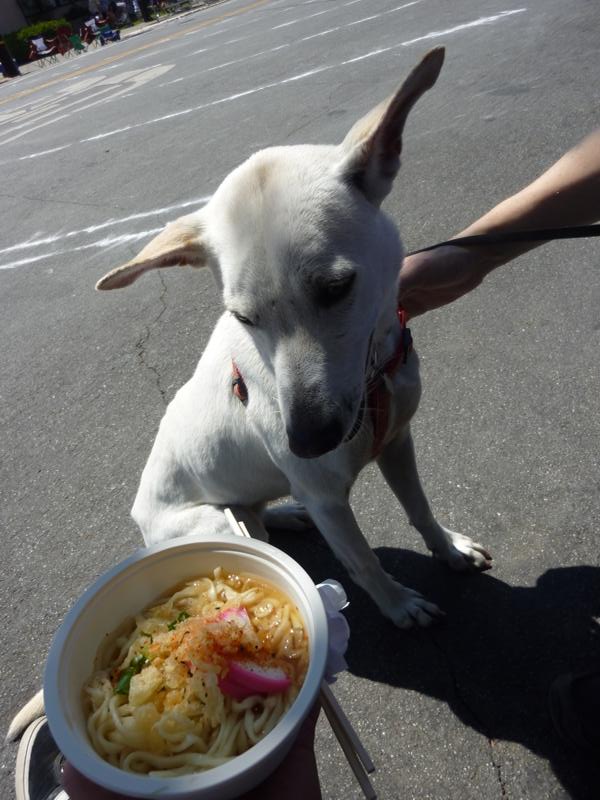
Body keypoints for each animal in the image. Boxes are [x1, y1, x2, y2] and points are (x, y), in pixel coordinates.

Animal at [8, 46, 491, 741]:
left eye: (336, 287)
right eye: (242, 317)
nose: (306, 439)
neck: (372, 378)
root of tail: (141, 523)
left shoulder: (398, 439)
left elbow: (420, 508)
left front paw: (447, 548)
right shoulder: (330, 497)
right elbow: (365, 563)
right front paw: (400, 605)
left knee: (263, 512)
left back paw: (281, 514)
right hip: (209, 520)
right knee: (249, 526)